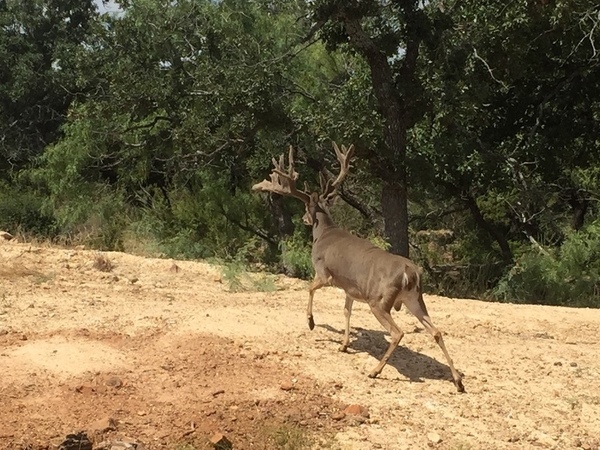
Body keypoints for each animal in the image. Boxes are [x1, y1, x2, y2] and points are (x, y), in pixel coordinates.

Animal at [251, 142, 466, 392]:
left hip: (380, 300)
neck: (324, 233)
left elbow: (310, 288)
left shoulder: (324, 272)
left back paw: (375, 371)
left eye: (306, 205)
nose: (304, 218)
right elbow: (347, 310)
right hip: (414, 298)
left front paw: (311, 322)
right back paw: (458, 381)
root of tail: (409, 273)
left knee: (397, 332)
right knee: (436, 331)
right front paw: (343, 345)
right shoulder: (351, 288)